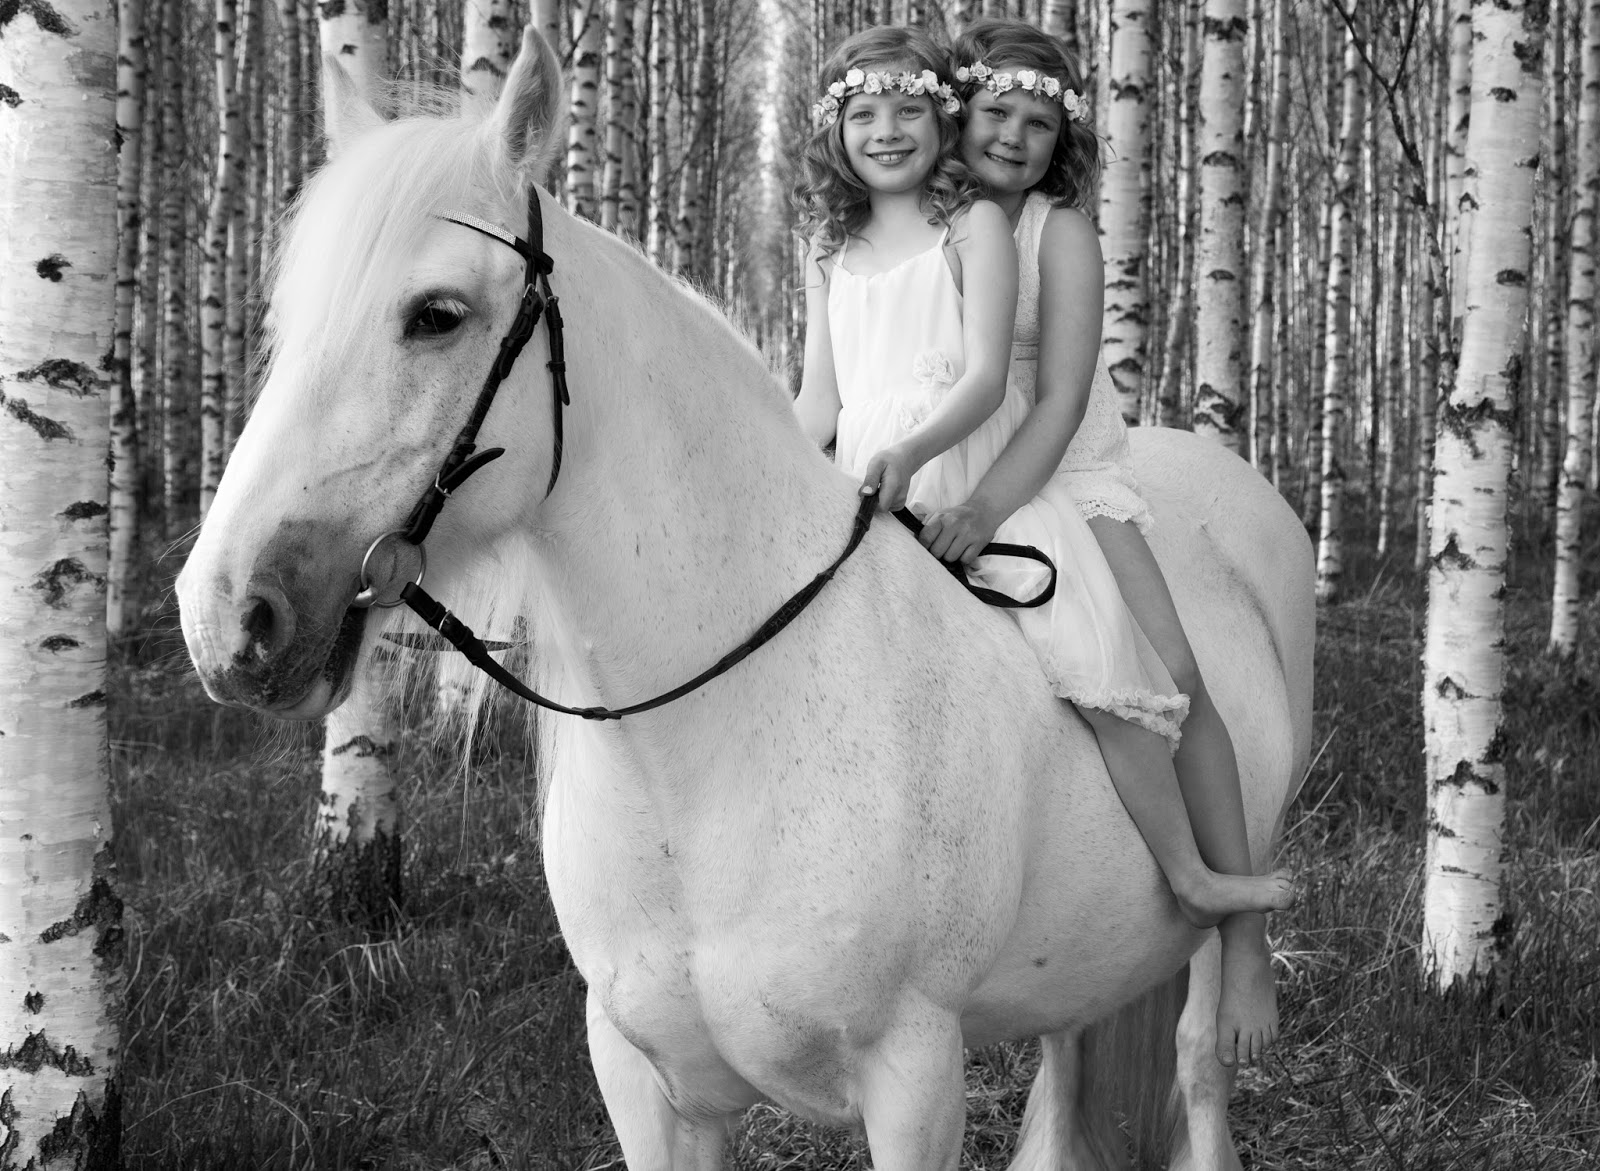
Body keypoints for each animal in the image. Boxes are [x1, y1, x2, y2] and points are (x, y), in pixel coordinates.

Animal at [176, 28, 1313, 1170]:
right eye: (284, 320)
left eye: (437, 315)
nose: (227, 614)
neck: (702, 749)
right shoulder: (644, 1078)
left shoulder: (914, 1075)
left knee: (1201, 1057)